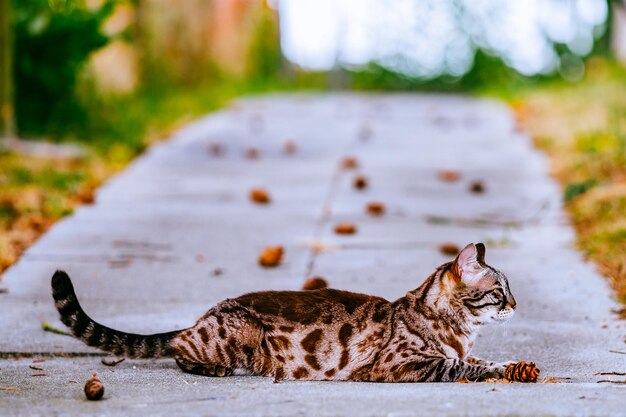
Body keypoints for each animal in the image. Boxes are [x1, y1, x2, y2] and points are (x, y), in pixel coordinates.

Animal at [51, 240, 516, 380]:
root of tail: (205, 314)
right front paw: (505, 371)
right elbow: (462, 367)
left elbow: (478, 360)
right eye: (500, 291)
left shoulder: (459, 351)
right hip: (235, 338)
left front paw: (511, 363)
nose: (515, 304)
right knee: (179, 347)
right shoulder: (403, 364)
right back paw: (212, 368)